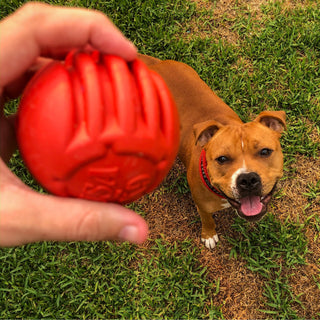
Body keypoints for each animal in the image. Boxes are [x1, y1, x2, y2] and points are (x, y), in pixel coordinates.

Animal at [140, 55, 284, 250]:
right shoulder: (201, 205)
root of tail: (157, 64)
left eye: (265, 151)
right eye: (222, 159)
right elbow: (207, 220)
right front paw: (208, 235)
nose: (248, 179)